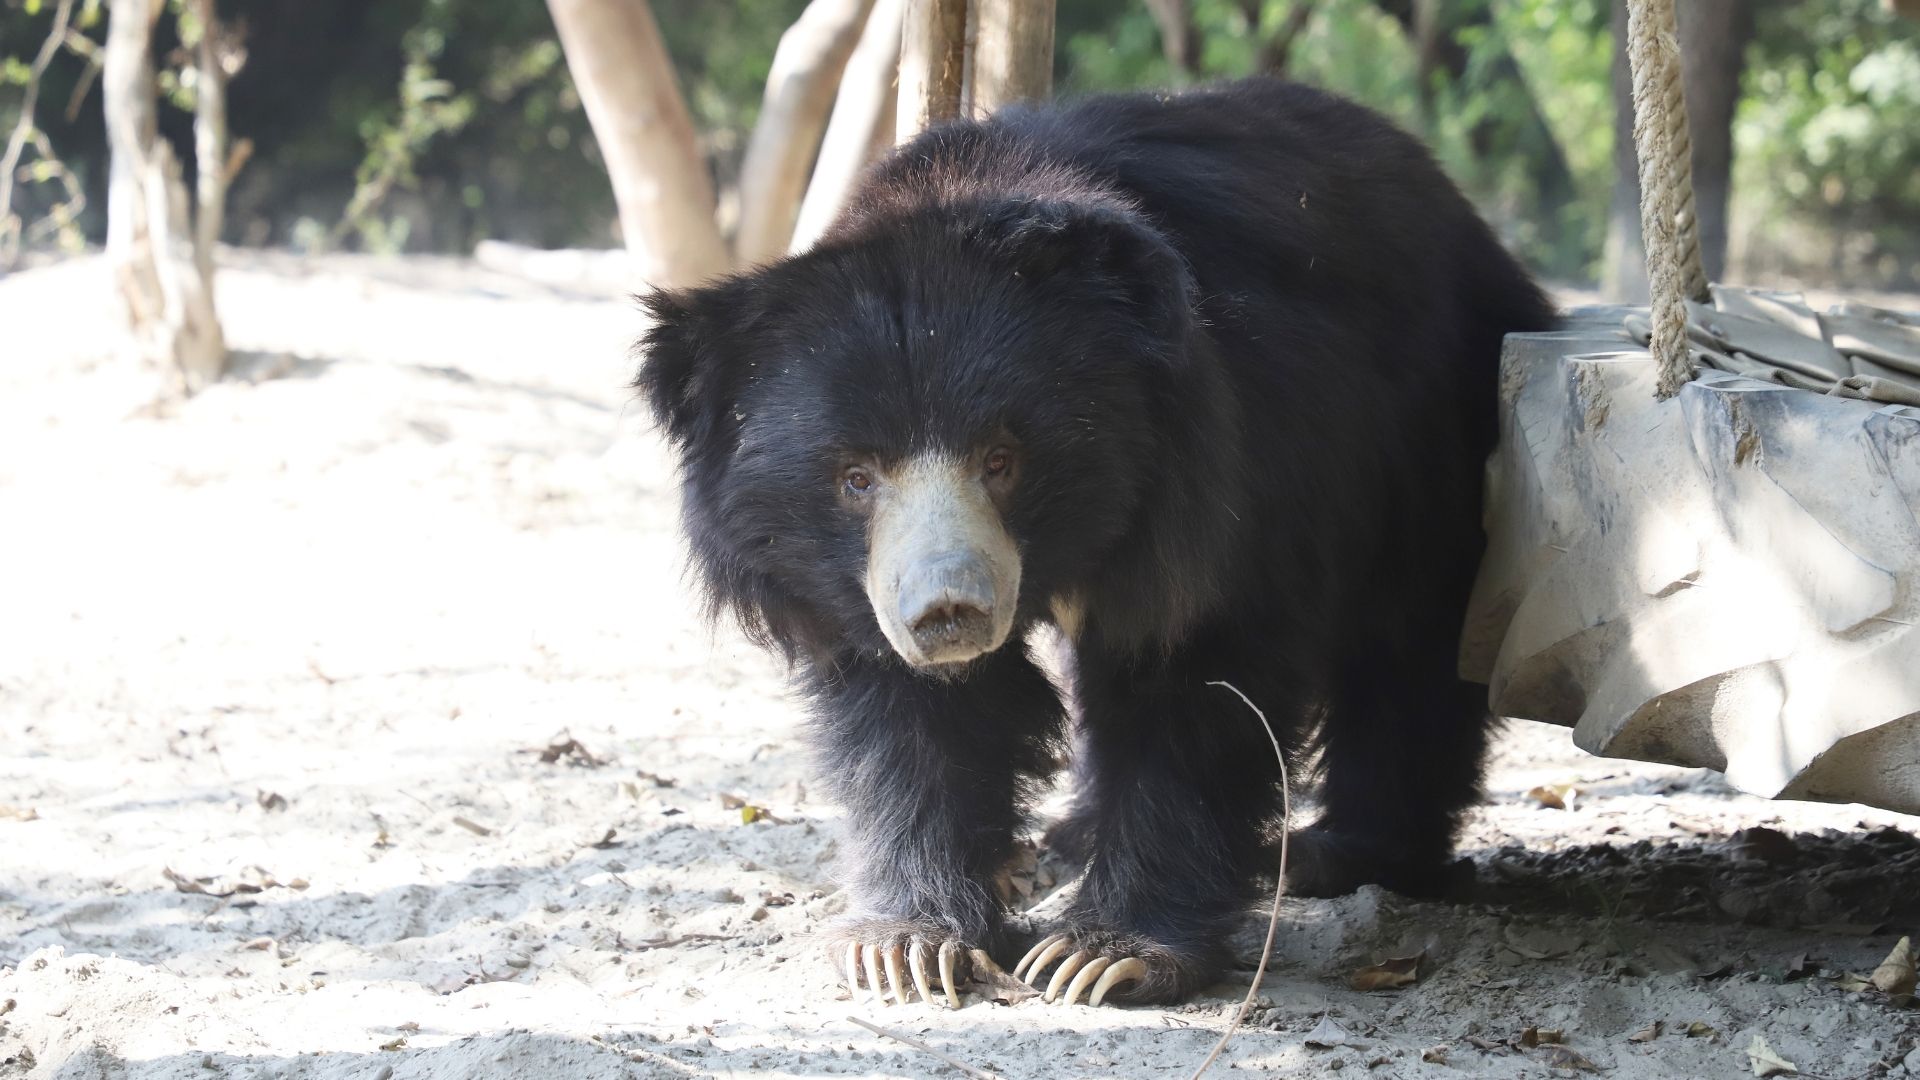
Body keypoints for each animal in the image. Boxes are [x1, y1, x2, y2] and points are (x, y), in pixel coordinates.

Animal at [636, 78, 1557, 1007]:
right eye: (857, 477)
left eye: (1000, 459)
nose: (948, 614)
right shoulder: (854, 586)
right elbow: (912, 718)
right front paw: (905, 946)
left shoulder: (1228, 471)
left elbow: (1197, 683)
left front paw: (1101, 955)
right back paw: (1072, 838)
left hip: (1432, 429)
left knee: (1408, 647)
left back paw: (1340, 852)